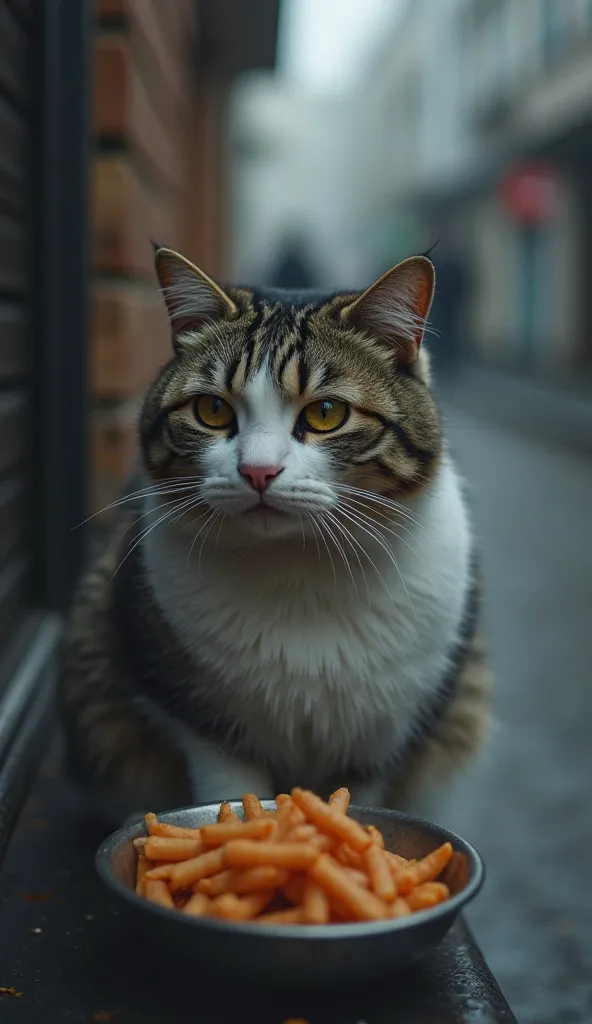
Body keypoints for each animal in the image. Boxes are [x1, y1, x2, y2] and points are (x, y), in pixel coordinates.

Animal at [60, 245, 487, 823]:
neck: (297, 565)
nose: (257, 471)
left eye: (326, 413)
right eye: (212, 409)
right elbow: (228, 788)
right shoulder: (198, 718)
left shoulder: (385, 737)